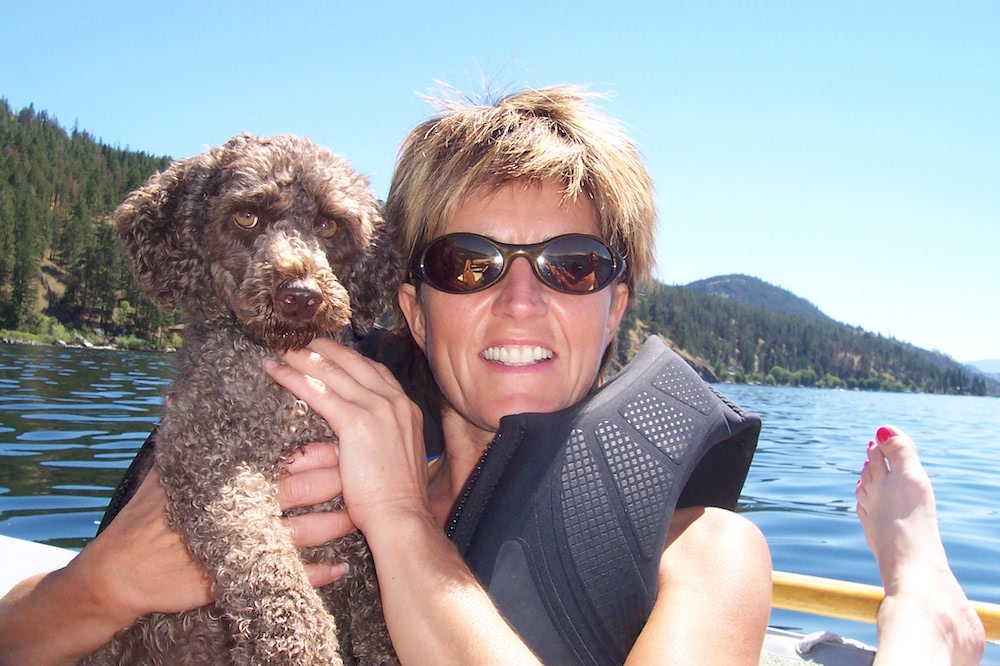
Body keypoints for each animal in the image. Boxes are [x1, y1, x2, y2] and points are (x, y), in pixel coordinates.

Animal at [82, 132, 400, 660]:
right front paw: (299, 644)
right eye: (246, 217)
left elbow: (381, 613)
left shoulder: (359, 535)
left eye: (330, 224)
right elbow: (262, 560)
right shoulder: (205, 460)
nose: (301, 294)